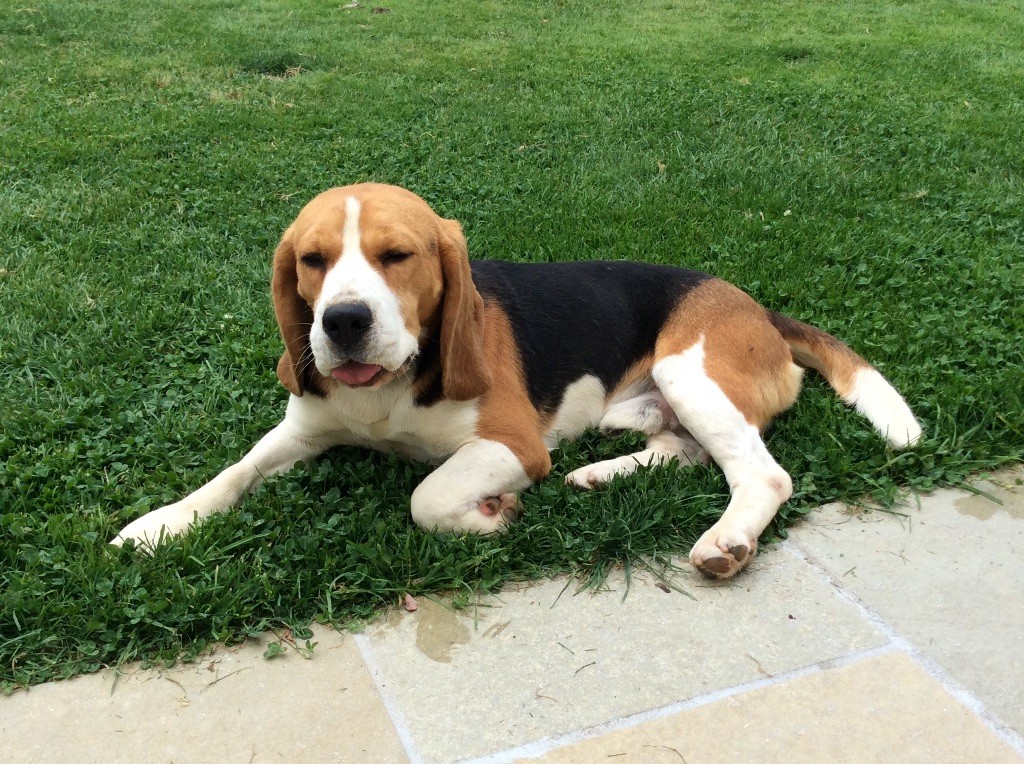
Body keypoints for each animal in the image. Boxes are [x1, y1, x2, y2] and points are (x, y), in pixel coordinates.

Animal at [112, 183, 923, 578]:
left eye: (397, 256)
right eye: (311, 260)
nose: (341, 322)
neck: (388, 390)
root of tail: (756, 307)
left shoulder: (513, 445)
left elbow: (426, 496)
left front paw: (492, 514)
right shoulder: (302, 428)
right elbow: (233, 473)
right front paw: (160, 524)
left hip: (685, 368)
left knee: (761, 472)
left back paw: (725, 541)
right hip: (638, 407)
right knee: (686, 449)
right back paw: (599, 475)